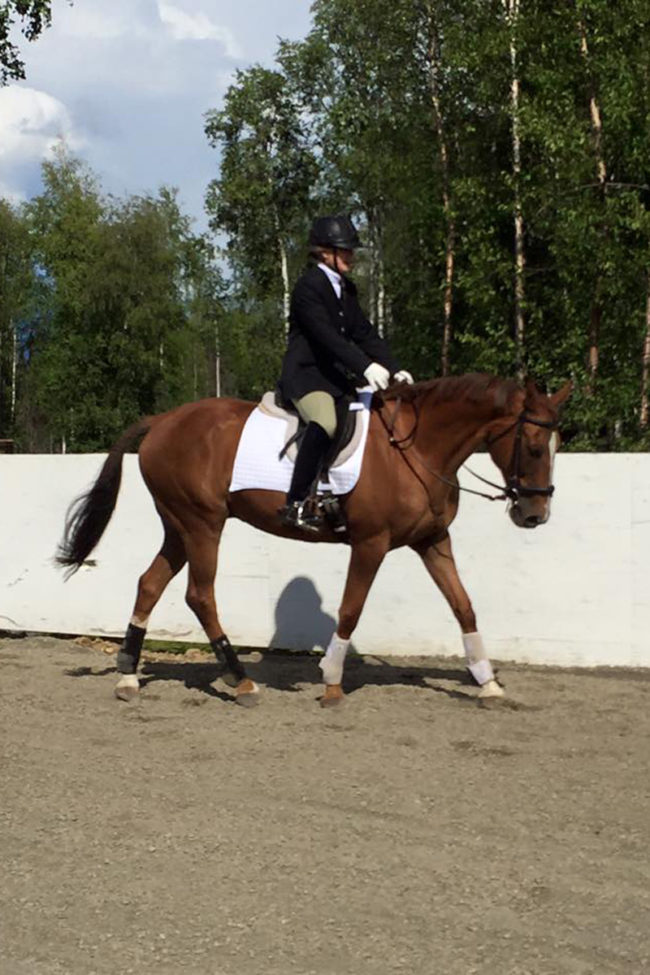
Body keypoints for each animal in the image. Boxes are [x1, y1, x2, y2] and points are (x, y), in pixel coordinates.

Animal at [57, 373, 571, 707]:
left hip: (179, 527)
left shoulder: (433, 541)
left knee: (150, 583)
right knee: (200, 595)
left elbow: (463, 605)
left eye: (557, 445)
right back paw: (241, 681)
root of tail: (163, 420)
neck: (418, 449)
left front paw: (488, 682)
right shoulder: (371, 543)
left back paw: (128, 676)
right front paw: (332, 681)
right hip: (203, 524)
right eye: (531, 446)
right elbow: (350, 609)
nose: (534, 515)